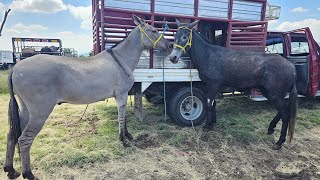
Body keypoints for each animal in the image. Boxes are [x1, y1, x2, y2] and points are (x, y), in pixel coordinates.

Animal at [168, 19, 298, 150]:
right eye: (175, 36)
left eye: (184, 37)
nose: (173, 57)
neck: (208, 55)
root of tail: (292, 66)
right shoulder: (213, 87)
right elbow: (213, 104)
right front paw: (212, 123)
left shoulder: (213, 85)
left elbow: (209, 104)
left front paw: (207, 126)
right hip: (270, 92)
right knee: (283, 111)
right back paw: (271, 128)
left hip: (274, 93)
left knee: (285, 114)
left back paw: (279, 142)